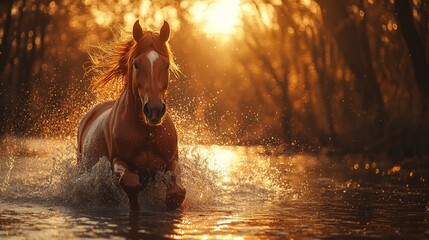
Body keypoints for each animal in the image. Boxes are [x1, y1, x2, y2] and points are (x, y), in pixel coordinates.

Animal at [77, 20, 185, 212]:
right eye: (136, 64)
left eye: (166, 64)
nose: (154, 109)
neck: (147, 132)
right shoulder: (118, 161)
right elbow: (131, 183)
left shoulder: (171, 161)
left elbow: (176, 192)